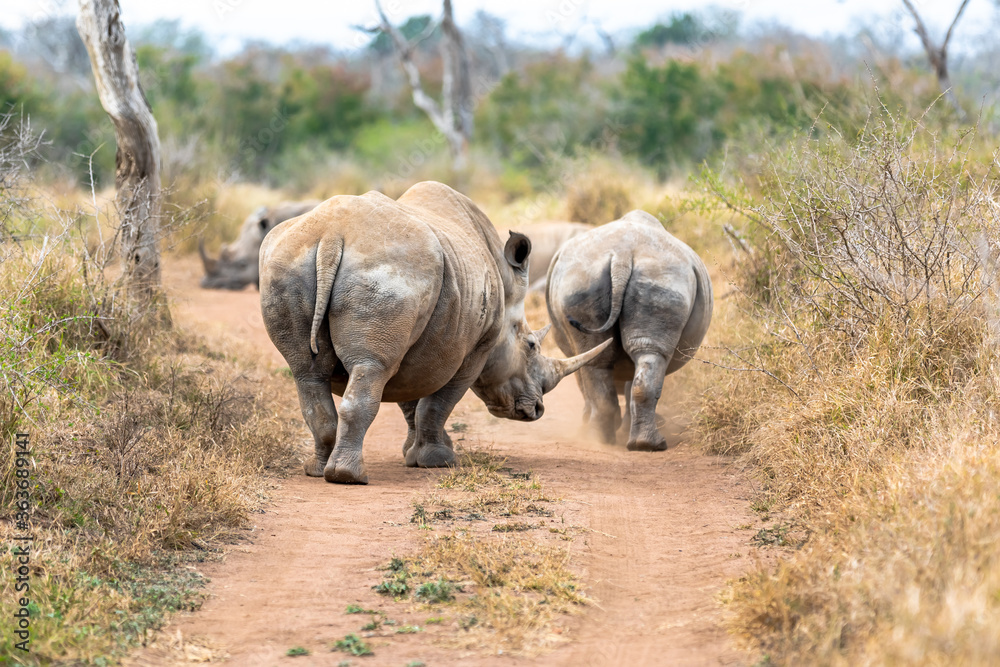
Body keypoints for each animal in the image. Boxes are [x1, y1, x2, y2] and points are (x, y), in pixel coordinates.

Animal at [259, 181, 611, 484]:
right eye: (531, 345)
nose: (536, 410)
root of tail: (333, 234)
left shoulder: (416, 343)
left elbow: (410, 399)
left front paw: (414, 453)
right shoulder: (476, 349)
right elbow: (439, 402)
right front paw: (439, 461)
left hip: (288, 262)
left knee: (308, 373)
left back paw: (317, 470)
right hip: (393, 267)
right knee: (371, 368)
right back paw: (350, 477)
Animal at [546, 210, 713, 451]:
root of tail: (622, 256)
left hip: (592, 279)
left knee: (603, 358)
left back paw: (614, 440)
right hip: (658, 279)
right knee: (630, 355)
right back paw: (635, 442)